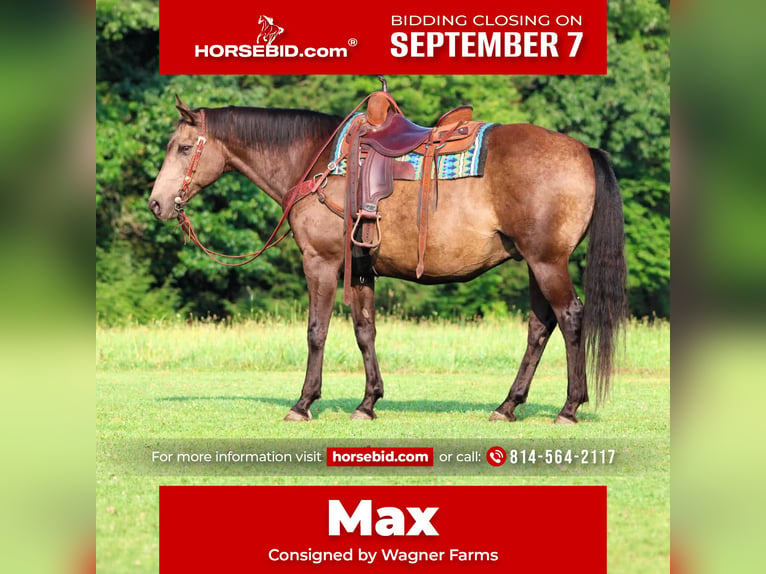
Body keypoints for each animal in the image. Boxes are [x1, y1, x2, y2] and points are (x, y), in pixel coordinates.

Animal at [148, 94, 627, 424]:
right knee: (539, 327)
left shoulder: (320, 262)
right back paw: (507, 405)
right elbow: (365, 332)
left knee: (570, 318)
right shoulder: (361, 270)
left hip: (548, 262)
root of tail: (583, 151)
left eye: (184, 148)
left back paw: (568, 407)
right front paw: (368, 402)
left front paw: (303, 403)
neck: (316, 162)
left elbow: (317, 331)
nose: (156, 203)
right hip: (533, 263)